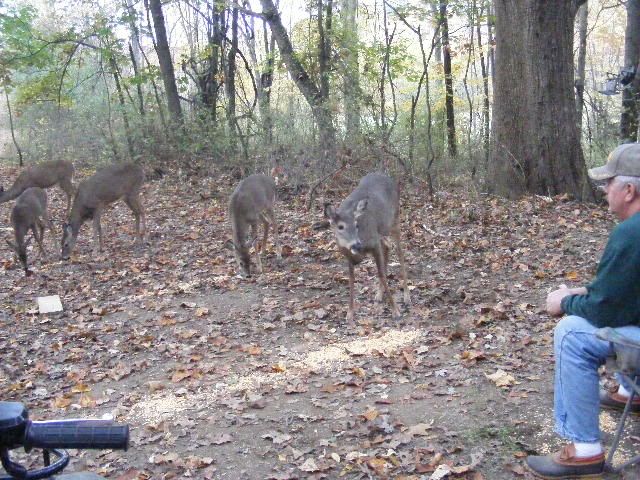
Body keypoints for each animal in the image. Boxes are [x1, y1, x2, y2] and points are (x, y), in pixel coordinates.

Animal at [324, 171, 410, 324]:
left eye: (356, 224)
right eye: (340, 226)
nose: (356, 244)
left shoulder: (374, 243)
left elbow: (381, 274)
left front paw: (396, 311)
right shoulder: (349, 256)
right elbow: (351, 280)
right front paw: (349, 313)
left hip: (394, 220)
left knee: (399, 252)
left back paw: (406, 296)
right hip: (382, 231)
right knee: (387, 246)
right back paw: (379, 295)